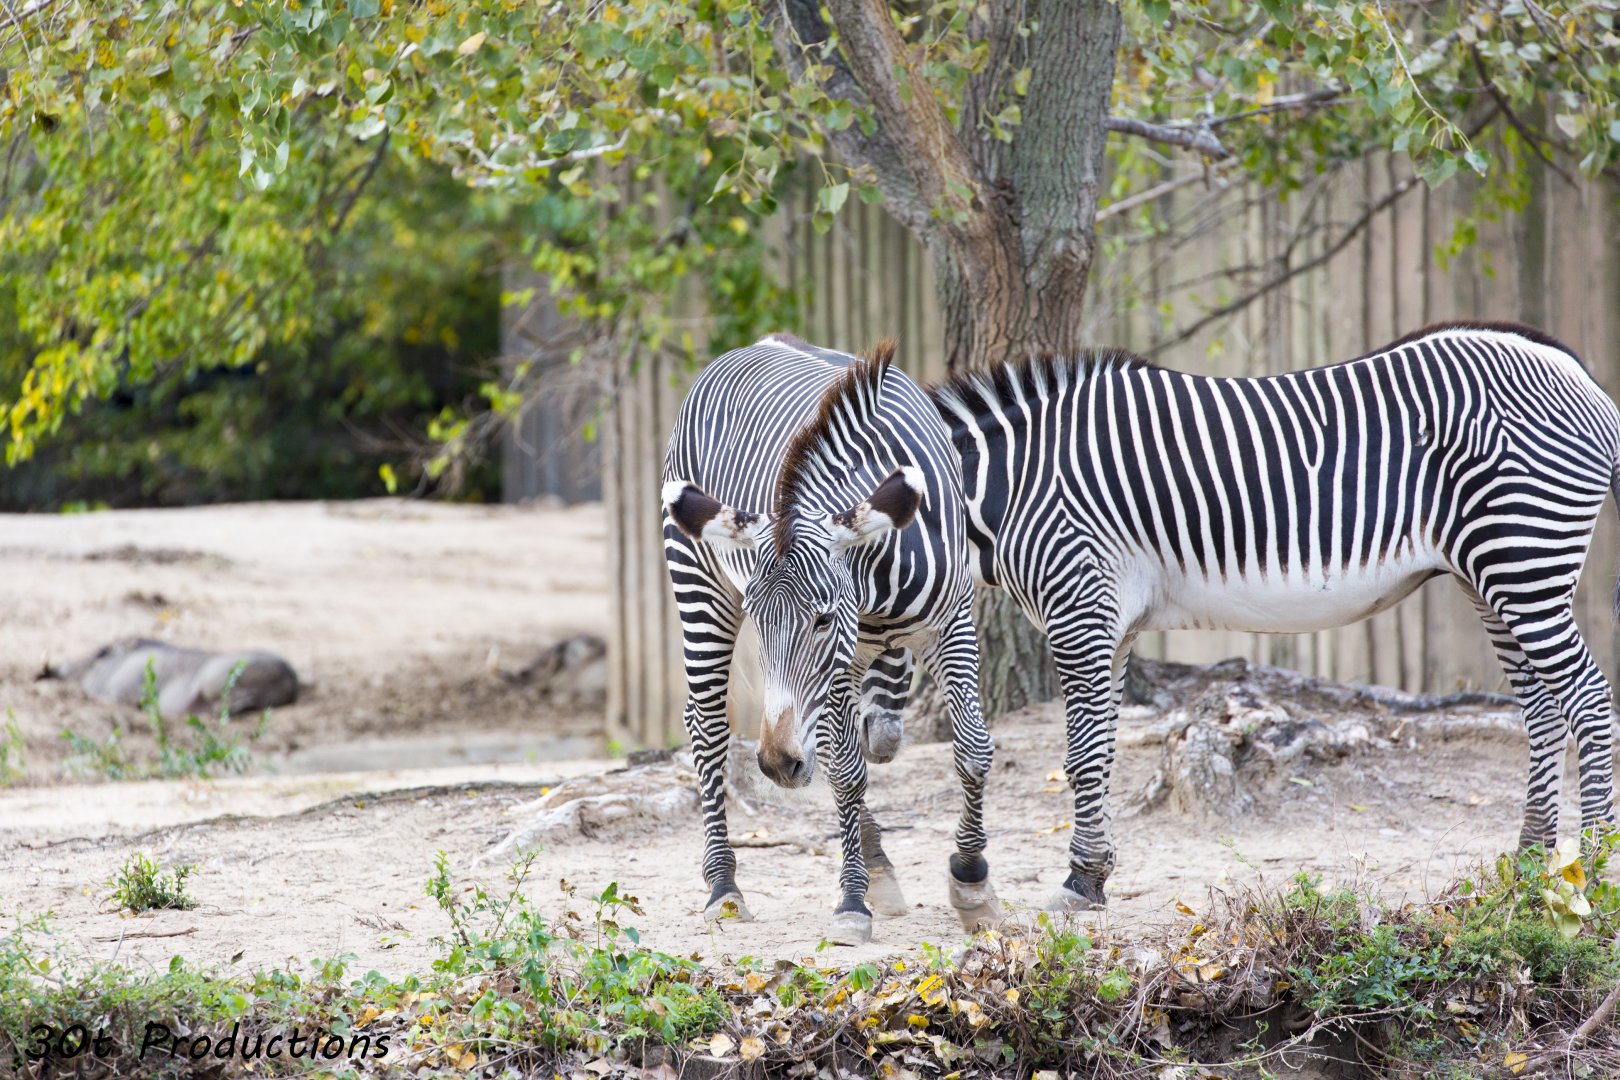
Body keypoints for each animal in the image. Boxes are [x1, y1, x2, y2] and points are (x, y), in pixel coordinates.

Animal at [661, 335, 997, 944]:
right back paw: (723, 885)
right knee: (708, 725)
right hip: (697, 581)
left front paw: (971, 880)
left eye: (821, 619)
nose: (776, 764)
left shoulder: (952, 622)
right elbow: (847, 772)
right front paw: (853, 900)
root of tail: (754, 345)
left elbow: (972, 749)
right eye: (760, 619)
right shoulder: (845, 660)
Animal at [929, 322, 1620, 911]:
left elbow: (1081, 755)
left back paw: (1593, 870)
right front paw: (1094, 874)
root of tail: (1579, 372)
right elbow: (1098, 751)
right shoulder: (1112, 622)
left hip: (1524, 558)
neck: (1010, 488)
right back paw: (1529, 866)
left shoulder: (1079, 606)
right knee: (1541, 711)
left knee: (1588, 700)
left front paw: (1077, 879)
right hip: (1490, 577)